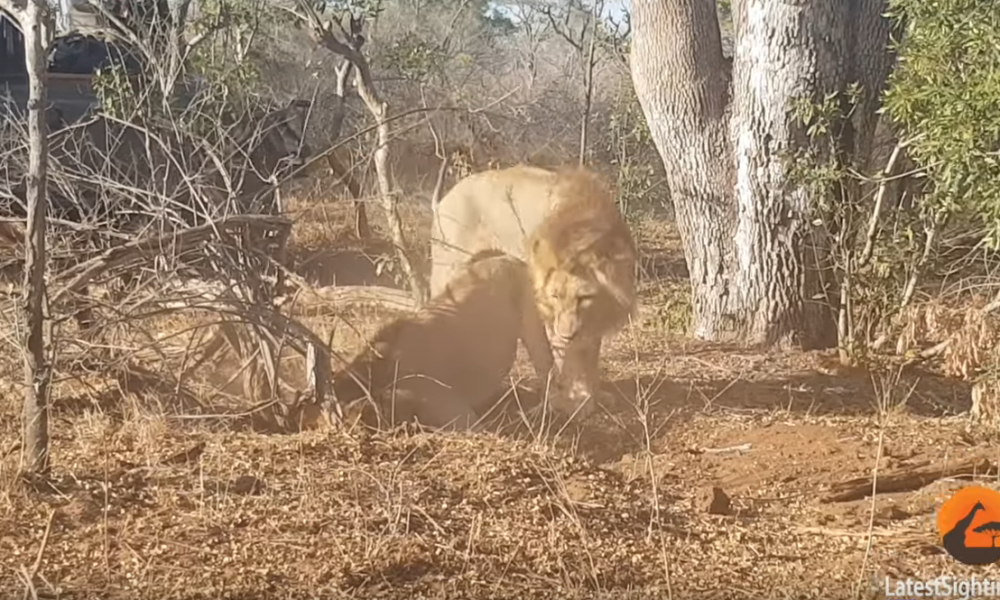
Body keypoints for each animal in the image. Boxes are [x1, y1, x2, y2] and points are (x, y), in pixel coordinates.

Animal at [428, 164, 632, 418]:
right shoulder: (541, 309)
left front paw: (594, 396)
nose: (566, 335)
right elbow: (558, 360)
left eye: (584, 297)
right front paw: (574, 402)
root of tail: (444, 199)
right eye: (555, 296)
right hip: (447, 271)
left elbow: (589, 356)